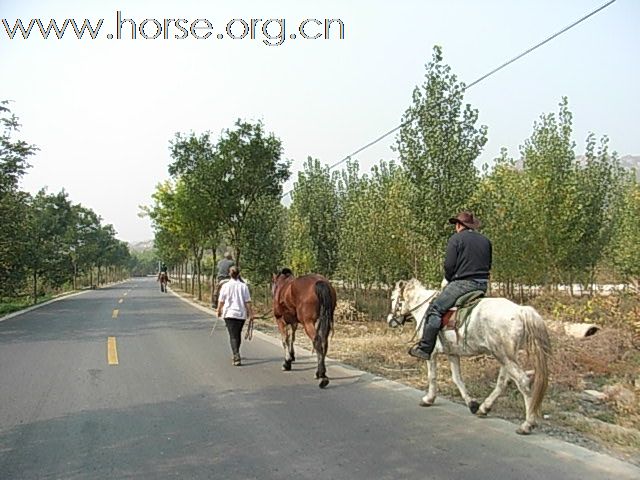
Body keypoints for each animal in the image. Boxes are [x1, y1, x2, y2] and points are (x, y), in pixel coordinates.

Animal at [388, 278, 552, 436]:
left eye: (393, 298)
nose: (390, 320)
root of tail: (520, 310)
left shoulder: (432, 353)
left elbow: (432, 376)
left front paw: (428, 399)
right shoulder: (452, 353)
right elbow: (457, 378)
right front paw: (472, 404)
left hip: (504, 356)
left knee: (522, 381)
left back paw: (527, 425)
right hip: (506, 357)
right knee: (503, 382)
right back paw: (484, 408)